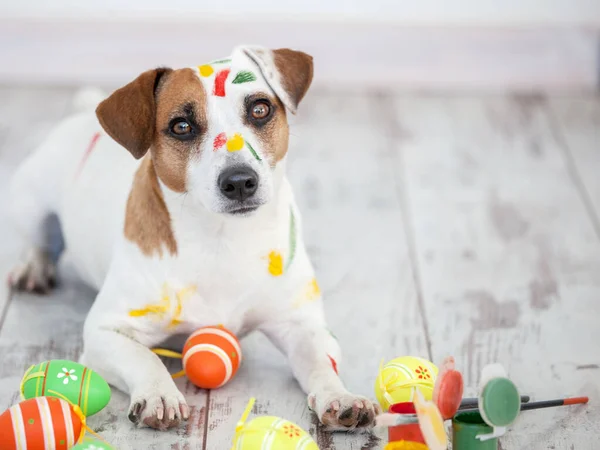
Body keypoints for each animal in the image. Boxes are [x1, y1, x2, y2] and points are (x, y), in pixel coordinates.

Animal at [8, 46, 380, 432]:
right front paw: (160, 394)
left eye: (260, 109)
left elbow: (321, 363)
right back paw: (33, 267)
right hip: (28, 202)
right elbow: (146, 358)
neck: (222, 239)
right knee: (38, 239)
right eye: (181, 126)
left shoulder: (302, 326)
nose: (239, 181)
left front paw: (340, 396)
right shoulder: (105, 331)